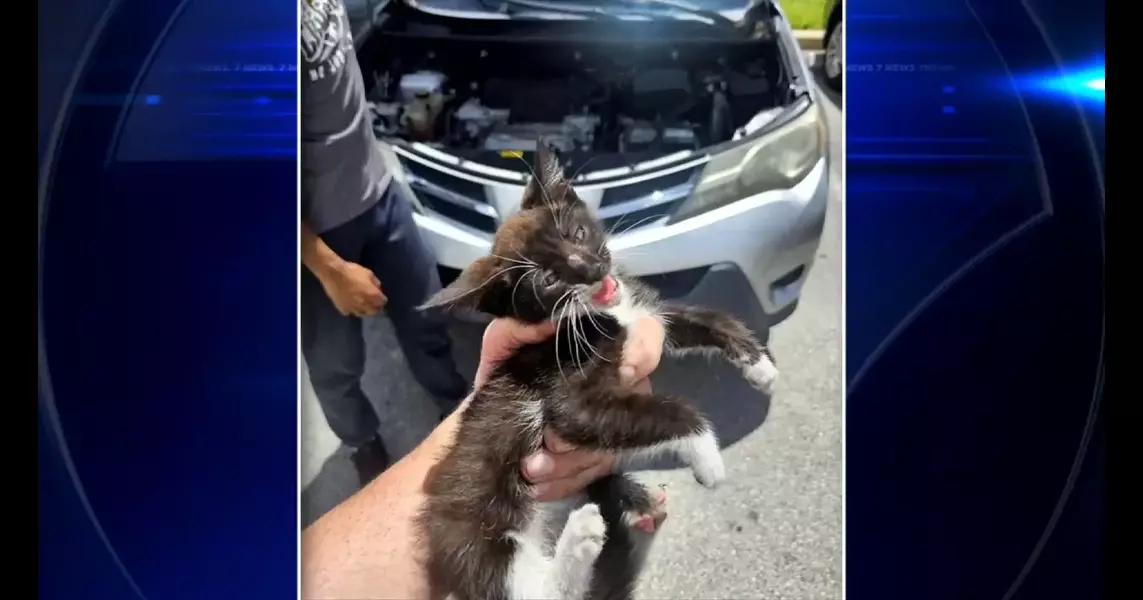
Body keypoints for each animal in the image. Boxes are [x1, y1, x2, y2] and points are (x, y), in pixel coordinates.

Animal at [416, 139, 781, 598]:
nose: (592, 270)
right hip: (472, 534)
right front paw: (707, 457)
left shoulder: (648, 315)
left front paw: (759, 365)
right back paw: (583, 535)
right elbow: (666, 410)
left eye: (577, 233)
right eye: (548, 280)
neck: (602, 313)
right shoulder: (567, 391)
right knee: (536, 588)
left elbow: (709, 319)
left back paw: (634, 504)